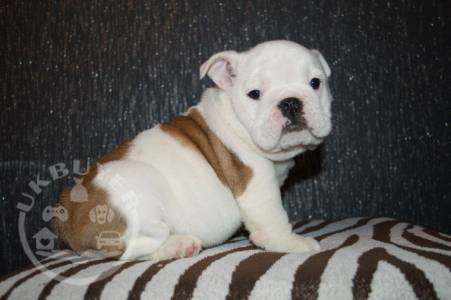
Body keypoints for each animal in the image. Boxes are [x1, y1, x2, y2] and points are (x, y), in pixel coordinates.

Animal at [54, 39, 334, 260]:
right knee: (132, 249)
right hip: (137, 193)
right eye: (254, 93)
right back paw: (179, 244)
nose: (290, 102)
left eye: (315, 82)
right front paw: (292, 242)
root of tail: (67, 214)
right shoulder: (258, 184)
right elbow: (274, 217)